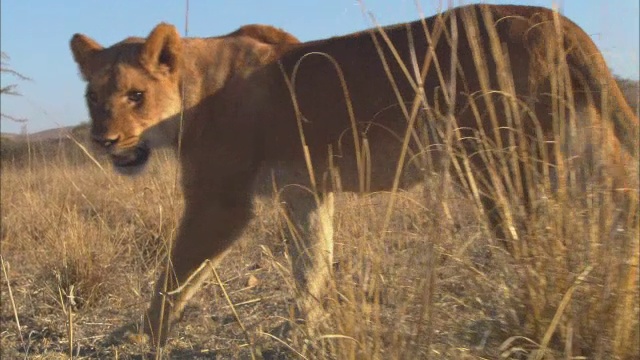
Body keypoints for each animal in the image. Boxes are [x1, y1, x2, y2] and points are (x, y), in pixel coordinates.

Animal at [70, 2, 640, 346]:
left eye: (135, 95)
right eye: (93, 97)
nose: (104, 141)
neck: (190, 89)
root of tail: (554, 20)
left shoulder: (221, 201)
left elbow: (176, 273)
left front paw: (138, 334)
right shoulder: (305, 190)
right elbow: (311, 262)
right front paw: (305, 330)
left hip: (501, 161)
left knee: (540, 234)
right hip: (578, 140)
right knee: (623, 200)